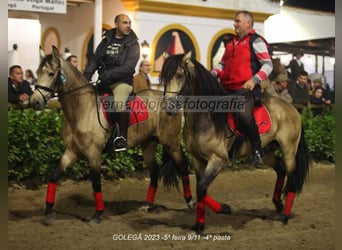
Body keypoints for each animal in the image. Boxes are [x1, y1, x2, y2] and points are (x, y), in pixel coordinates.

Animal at [30, 46, 192, 226]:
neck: (82, 109)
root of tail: (171, 101)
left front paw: (97, 215)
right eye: (38, 72)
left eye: (51, 73)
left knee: (182, 167)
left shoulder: (93, 154)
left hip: (171, 143)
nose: (35, 102)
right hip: (148, 144)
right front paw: (48, 212)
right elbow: (54, 176)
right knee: (154, 171)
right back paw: (147, 205)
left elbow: (96, 183)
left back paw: (191, 203)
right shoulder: (71, 151)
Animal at [160, 51, 310, 233]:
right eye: (164, 78)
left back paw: (284, 217)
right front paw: (202, 222)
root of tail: (292, 108)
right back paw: (277, 203)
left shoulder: (218, 159)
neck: (206, 117)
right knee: (280, 170)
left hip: (289, 149)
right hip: (266, 150)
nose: (168, 107)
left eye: (180, 75)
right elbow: (201, 189)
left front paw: (222, 210)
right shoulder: (197, 159)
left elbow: (201, 188)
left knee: (292, 177)